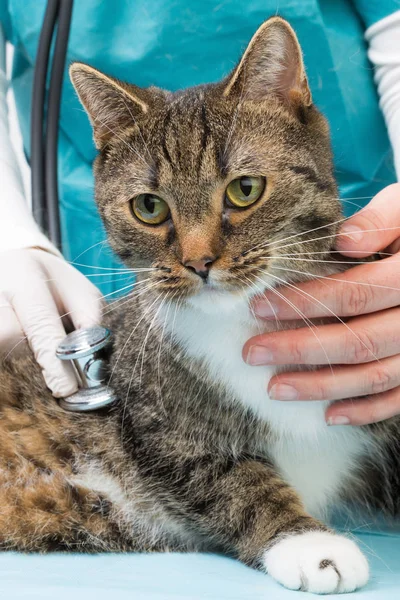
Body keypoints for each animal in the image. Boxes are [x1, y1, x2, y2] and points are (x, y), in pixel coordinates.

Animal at [3, 15, 400, 596]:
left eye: (245, 189)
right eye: (149, 207)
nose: (198, 262)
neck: (241, 321)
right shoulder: (157, 426)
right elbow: (229, 479)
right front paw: (311, 546)